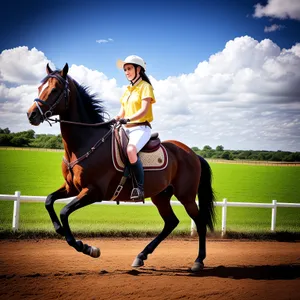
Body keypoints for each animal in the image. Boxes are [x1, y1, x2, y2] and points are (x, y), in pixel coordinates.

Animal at [26, 63, 216, 272]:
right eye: (39, 87)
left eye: (54, 89)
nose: (31, 114)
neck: (86, 142)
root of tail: (193, 154)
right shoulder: (71, 188)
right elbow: (49, 201)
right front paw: (62, 231)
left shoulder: (93, 192)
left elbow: (64, 211)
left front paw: (87, 248)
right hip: (161, 195)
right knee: (170, 222)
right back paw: (141, 256)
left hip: (186, 196)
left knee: (199, 222)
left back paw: (198, 261)